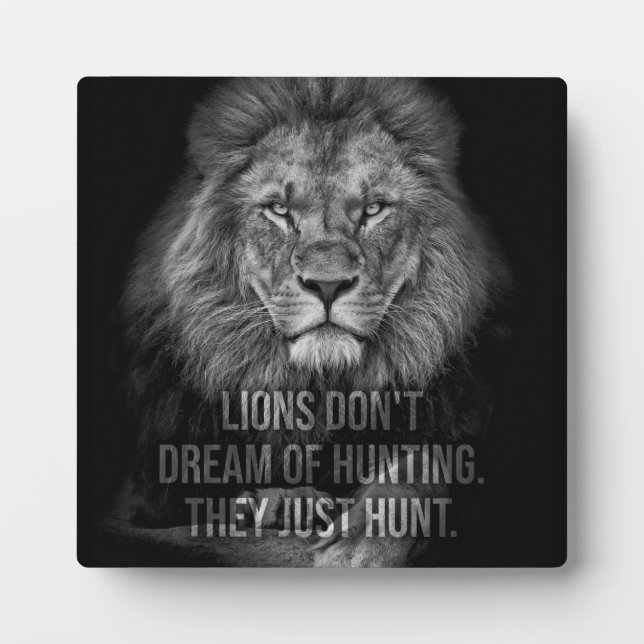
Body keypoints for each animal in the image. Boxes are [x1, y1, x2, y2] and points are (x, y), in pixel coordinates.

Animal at [119, 78, 511, 566]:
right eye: (279, 210)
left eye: (374, 209)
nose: (327, 285)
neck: (320, 390)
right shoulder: (148, 494)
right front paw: (285, 504)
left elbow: (423, 465)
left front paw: (362, 542)